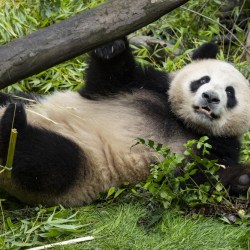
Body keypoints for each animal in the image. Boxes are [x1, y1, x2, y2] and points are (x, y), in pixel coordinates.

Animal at [0, 36, 250, 205]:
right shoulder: (147, 85)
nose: (210, 97)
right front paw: (112, 47)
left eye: (230, 93)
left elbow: (200, 180)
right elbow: (107, 80)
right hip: (33, 102)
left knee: (47, 158)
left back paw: (13, 126)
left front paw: (243, 177)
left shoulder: (219, 145)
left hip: (85, 165)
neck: (182, 121)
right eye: (203, 80)